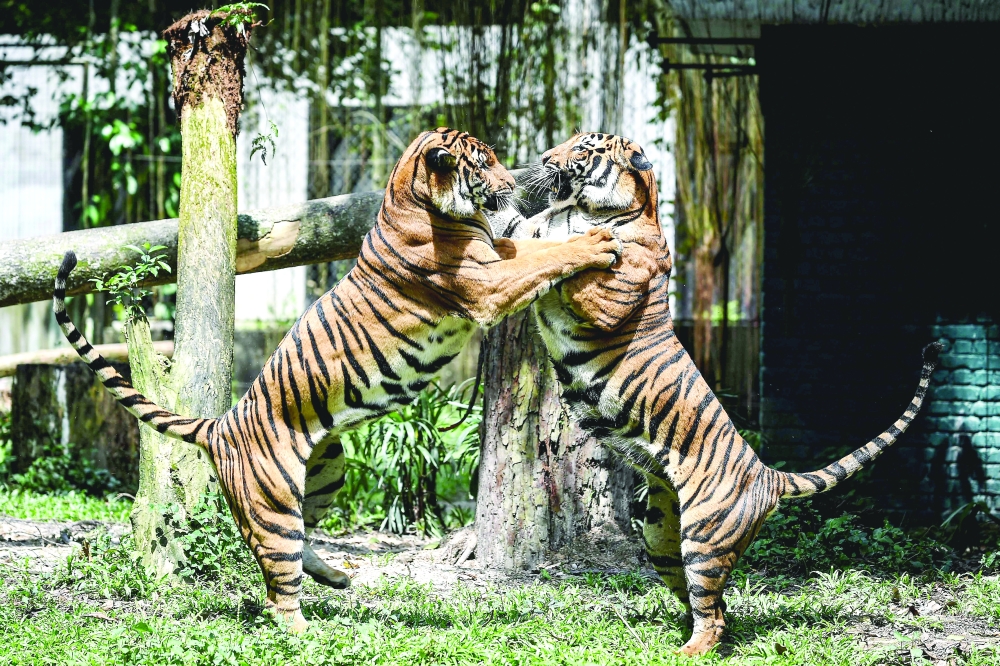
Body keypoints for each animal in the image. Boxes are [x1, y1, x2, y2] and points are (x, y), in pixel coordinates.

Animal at [52, 127, 623, 632]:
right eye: (483, 164)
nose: (517, 182)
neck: (412, 197)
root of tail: (221, 425)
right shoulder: (486, 280)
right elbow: (546, 256)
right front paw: (596, 240)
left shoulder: (498, 255)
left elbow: (537, 243)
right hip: (273, 503)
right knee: (278, 582)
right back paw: (305, 629)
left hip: (327, 472)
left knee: (302, 542)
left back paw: (336, 578)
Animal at [502, 131, 941, 656]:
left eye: (583, 148)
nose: (545, 157)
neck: (587, 208)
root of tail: (768, 475)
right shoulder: (532, 233)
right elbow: (520, 232)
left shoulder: (607, 300)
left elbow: (576, 263)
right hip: (660, 537)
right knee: (715, 609)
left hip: (703, 540)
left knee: (712, 617)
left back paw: (683, 652)